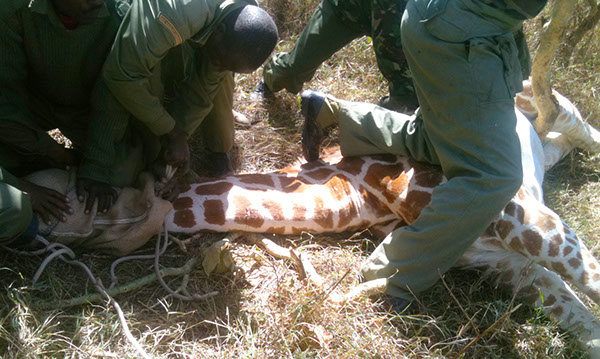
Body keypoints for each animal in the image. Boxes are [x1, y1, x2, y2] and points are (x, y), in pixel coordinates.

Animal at [165, 82, 600, 358]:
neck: (365, 192)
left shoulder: (523, 221)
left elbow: (592, 281)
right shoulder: (512, 263)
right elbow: (584, 325)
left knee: (555, 106)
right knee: (551, 136)